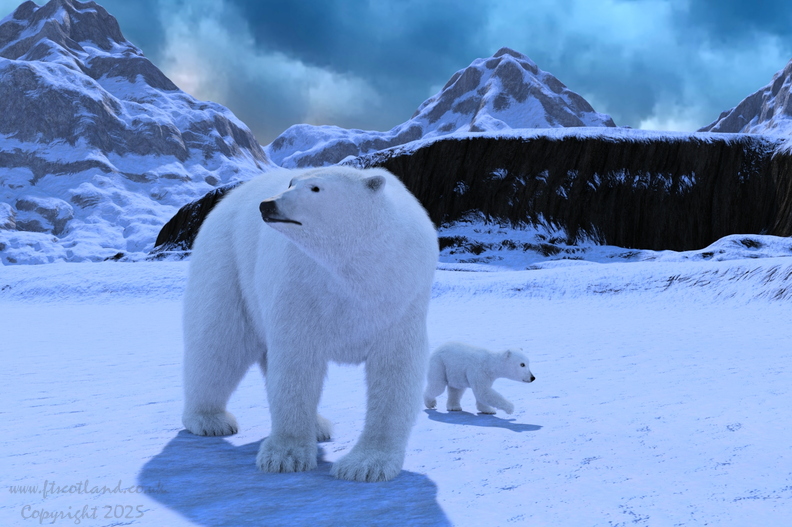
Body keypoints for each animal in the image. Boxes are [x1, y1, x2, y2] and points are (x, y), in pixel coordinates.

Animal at [181, 166, 438, 482]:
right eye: (291, 183)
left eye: (316, 188)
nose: (268, 205)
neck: (357, 272)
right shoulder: (302, 288)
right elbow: (296, 364)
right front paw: (285, 457)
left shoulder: (400, 298)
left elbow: (395, 370)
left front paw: (364, 466)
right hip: (229, 263)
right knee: (219, 342)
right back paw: (210, 420)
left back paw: (317, 426)